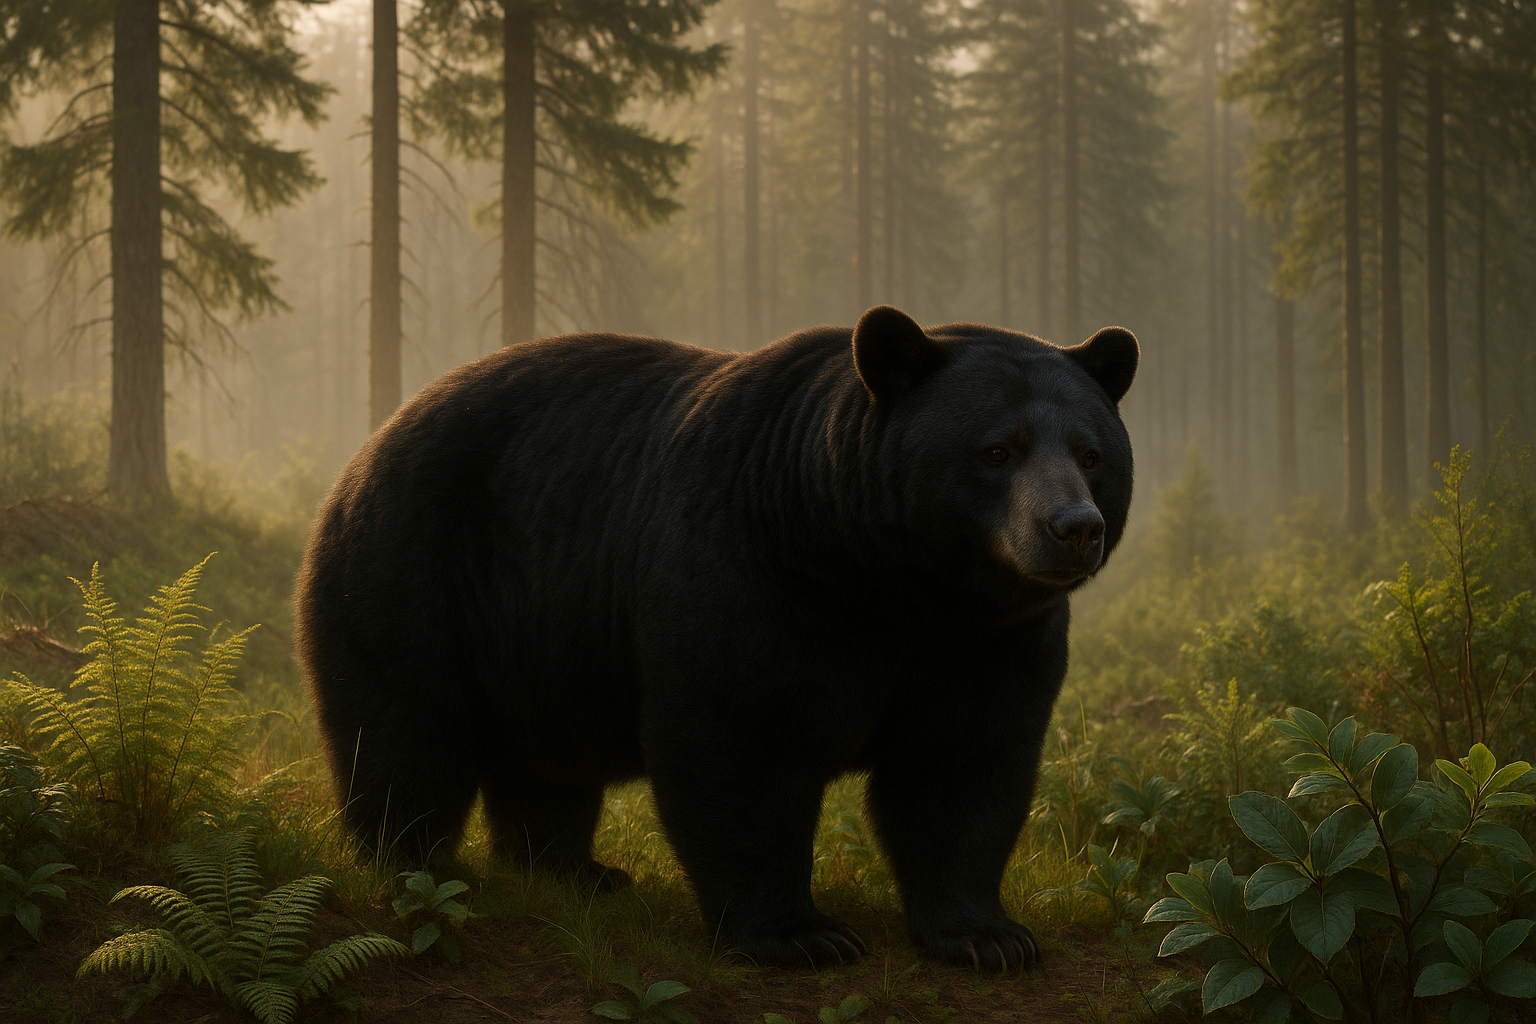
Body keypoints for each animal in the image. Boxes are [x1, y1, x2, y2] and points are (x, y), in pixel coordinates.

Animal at [294, 305, 1137, 972]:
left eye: (1092, 453)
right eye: (998, 449)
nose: (1074, 528)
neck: (892, 580)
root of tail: (369, 444)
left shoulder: (990, 641)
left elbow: (963, 765)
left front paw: (988, 936)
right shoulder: (753, 574)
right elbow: (743, 748)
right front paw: (800, 935)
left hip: (541, 633)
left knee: (547, 763)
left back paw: (575, 871)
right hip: (413, 573)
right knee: (405, 735)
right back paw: (416, 868)